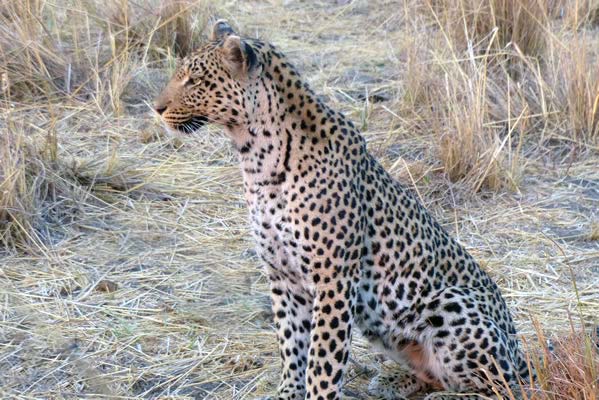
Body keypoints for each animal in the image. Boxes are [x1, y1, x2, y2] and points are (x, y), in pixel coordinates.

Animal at [154, 21, 528, 400]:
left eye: (194, 81)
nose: (156, 108)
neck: (256, 157)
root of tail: (519, 353)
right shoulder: (282, 276)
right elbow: (291, 345)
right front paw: (288, 392)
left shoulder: (333, 279)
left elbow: (322, 360)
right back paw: (390, 382)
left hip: (451, 302)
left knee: (503, 387)